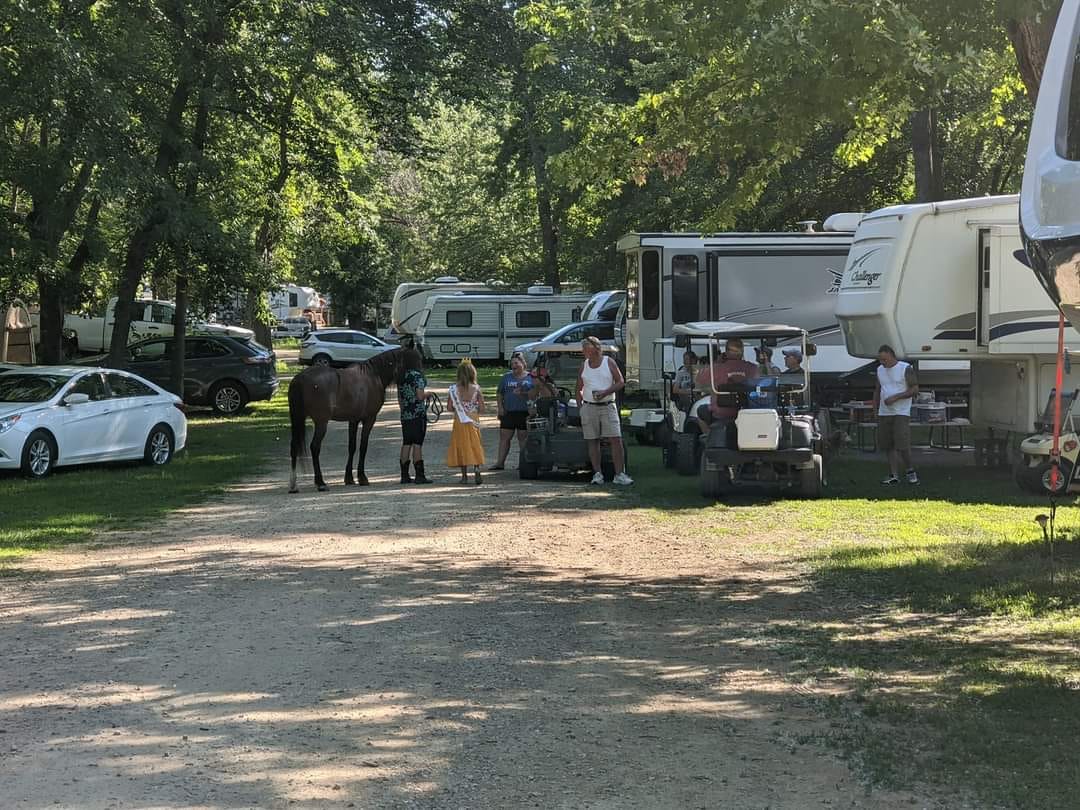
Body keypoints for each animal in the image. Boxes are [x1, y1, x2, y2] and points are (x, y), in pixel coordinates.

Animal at [287, 345, 416, 492]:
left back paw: (293, 485)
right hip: (321, 423)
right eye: (415, 360)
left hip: (298, 418)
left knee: (294, 446)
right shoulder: (369, 419)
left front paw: (349, 478)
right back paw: (320, 483)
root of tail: (300, 379)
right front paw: (362, 478)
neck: (373, 376)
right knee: (314, 447)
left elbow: (352, 446)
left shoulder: (353, 420)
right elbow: (363, 446)